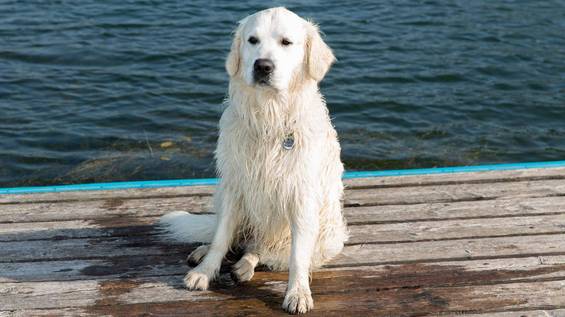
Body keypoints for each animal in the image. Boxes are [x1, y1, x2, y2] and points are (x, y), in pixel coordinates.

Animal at [156, 7, 346, 314]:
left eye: (286, 42)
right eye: (252, 40)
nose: (263, 66)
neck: (269, 117)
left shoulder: (301, 195)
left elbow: (297, 257)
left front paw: (297, 292)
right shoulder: (234, 185)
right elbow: (221, 236)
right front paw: (206, 271)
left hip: (327, 236)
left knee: (260, 250)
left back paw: (244, 267)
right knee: (233, 238)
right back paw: (204, 252)